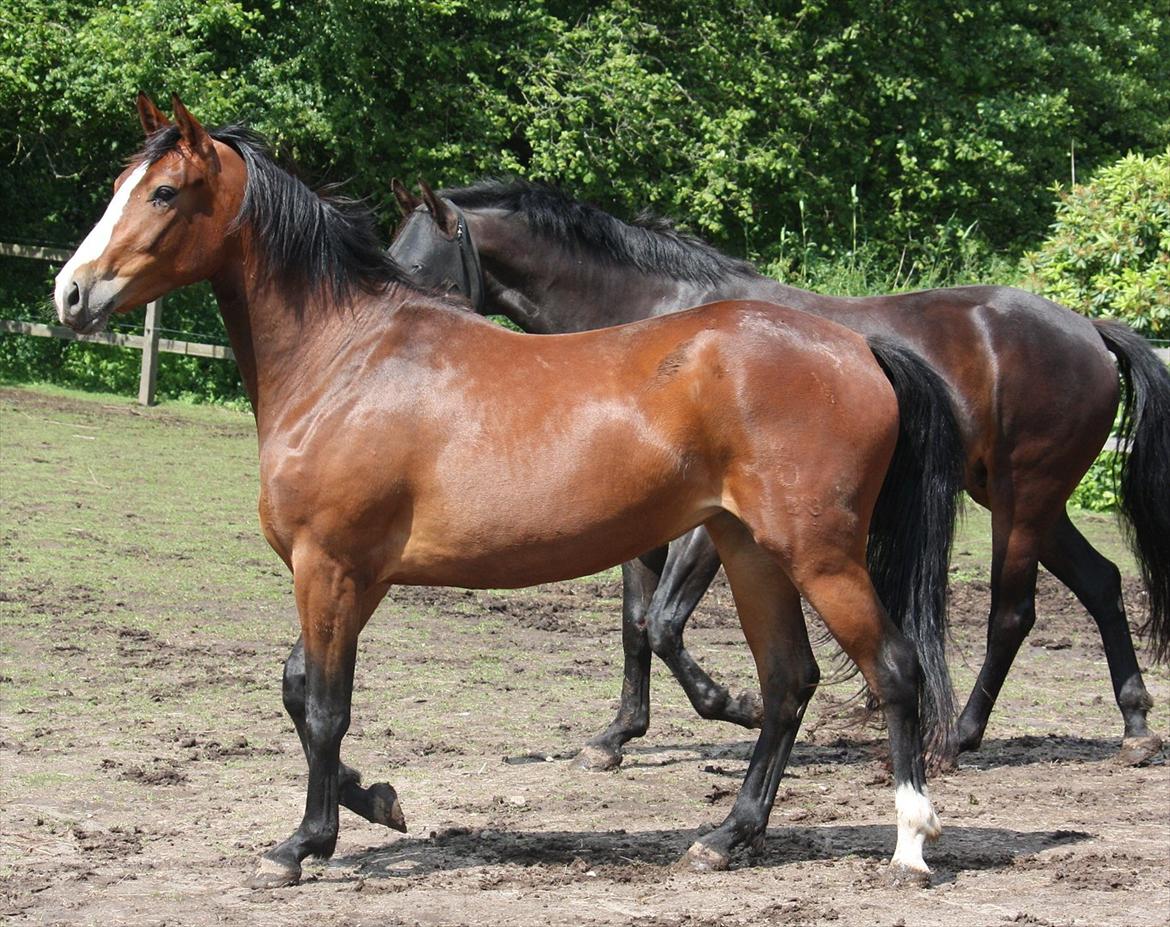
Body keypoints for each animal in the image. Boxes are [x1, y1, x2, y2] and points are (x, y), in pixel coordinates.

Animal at [54, 94, 964, 889]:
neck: (346, 358)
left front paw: (302, 843)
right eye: (120, 185)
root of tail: (858, 346)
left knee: (894, 670)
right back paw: (725, 836)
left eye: (164, 191)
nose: (70, 292)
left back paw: (911, 843)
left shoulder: (329, 565)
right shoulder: (359, 575)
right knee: (786, 685)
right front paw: (378, 800)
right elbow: (298, 688)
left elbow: (323, 707)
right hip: (751, 553)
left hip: (818, 555)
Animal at [393, 177, 1170, 772]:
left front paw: (735, 707)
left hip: (1021, 500)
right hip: (1033, 502)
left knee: (1013, 612)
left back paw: (959, 737)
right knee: (1101, 582)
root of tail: (1088, 329)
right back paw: (1133, 728)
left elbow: (664, 625)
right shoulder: (642, 524)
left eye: (421, 272)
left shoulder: (705, 528)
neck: (654, 323)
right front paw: (615, 738)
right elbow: (636, 625)